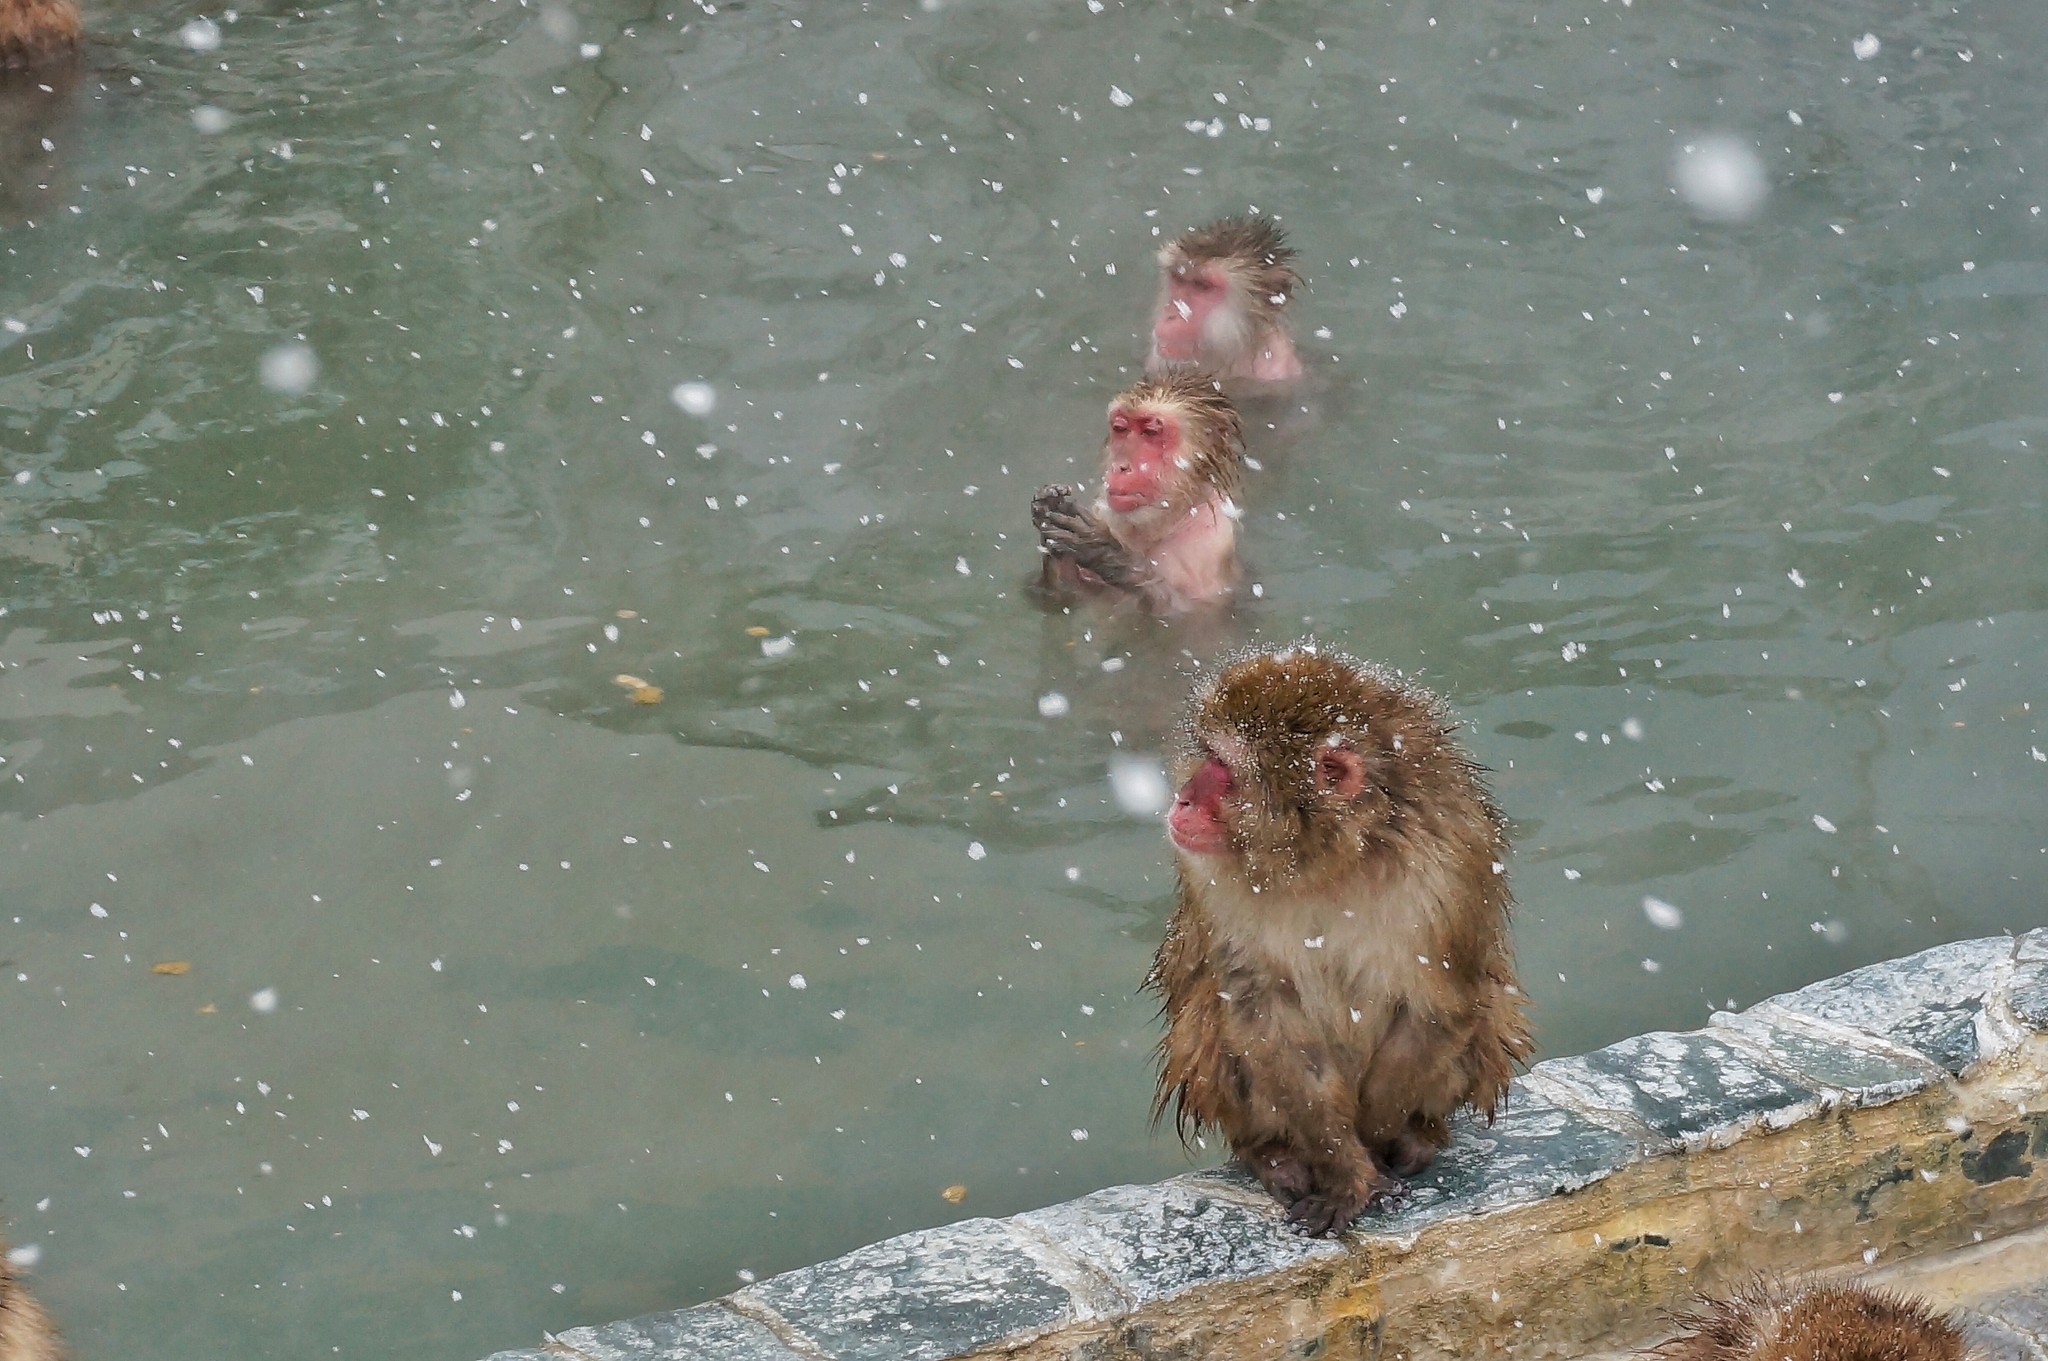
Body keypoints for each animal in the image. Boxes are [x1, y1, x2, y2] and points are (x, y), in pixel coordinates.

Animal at [1032, 366, 1236, 609]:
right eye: (1120, 428)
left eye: (1150, 432)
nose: (1121, 467)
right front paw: (1049, 507)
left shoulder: (1207, 546)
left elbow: (1187, 610)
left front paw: (1105, 552)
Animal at [1146, 642, 1531, 1236]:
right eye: (1207, 755)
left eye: (1225, 770)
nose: (1183, 800)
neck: (1332, 858)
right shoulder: (1210, 882)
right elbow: (1264, 1014)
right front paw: (1347, 1172)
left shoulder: (1449, 867)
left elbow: (1438, 1007)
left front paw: (1373, 1148)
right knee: (1210, 1019)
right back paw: (1272, 1155)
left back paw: (1421, 1135)